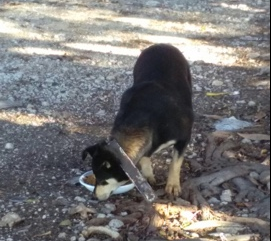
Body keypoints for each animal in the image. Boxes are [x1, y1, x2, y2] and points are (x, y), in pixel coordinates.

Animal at [82, 44, 194, 201]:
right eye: (95, 177)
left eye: (104, 181)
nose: (94, 197)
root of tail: (161, 44)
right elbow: (145, 158)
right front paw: (147, 176)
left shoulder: (183, 138)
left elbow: (175, 163)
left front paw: (172, 185)